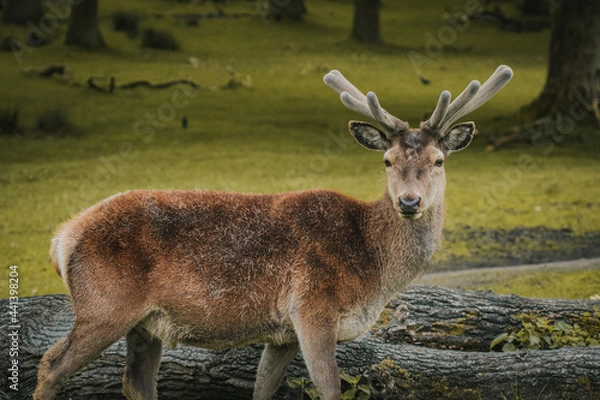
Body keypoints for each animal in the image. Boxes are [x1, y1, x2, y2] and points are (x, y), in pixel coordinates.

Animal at [34, 65, 510, 400]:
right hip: (104, 305)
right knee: (51, 364)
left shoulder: (282, 334)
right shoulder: (313, 306)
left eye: (438, 161)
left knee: (136, 383)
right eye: (387, 161)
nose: (409, 202)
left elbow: (263, 389)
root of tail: (62, 237)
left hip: (145, 324)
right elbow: (330, 388)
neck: (374, 271)